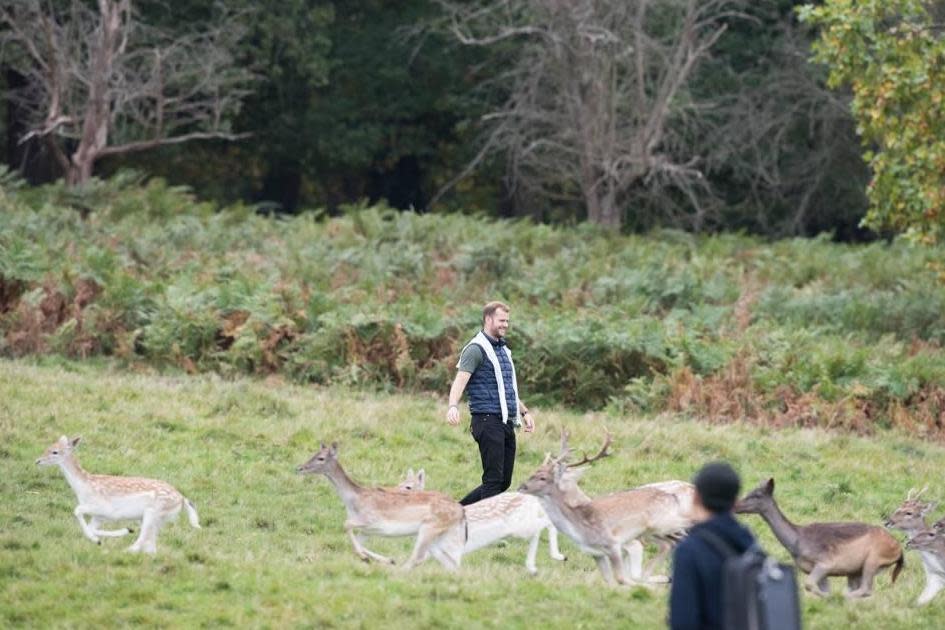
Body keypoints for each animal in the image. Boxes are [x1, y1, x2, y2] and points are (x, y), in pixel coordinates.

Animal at [35, 436, 201, 556]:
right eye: (47, 447)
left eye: (55, 452)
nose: (37, 461)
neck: (84, 487)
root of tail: (182, 499)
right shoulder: (99, 516)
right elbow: (90, 526)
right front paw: (105, 537)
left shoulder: (102, 509)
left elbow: (77, 511)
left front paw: (98, 540)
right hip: (159, 518)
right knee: (151, 546)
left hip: (153, 512)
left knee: (143, 539)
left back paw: (126, 551)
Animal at [296, 444, 466, 572]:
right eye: (314, 453)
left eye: (321, 458)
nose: (300, 468)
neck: (353, 501)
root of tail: (460, 510)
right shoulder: (367, 530)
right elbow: (357, 542)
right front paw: (385, 559)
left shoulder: (371, 520)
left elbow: (346, 525)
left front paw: (367, 558)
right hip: (441, 534)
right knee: (449, 559)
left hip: (430, 528)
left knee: (420, 557)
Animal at [394, 470, 564, 576]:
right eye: (400, 481)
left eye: (408, 486)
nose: (393, 491)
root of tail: (530, 498)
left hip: (522, 525)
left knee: (546, 523)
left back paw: (557, 556)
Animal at [732, 482, 904, 600]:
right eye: (750, 491)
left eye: (756, 495)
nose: (736, 505)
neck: (797, 542)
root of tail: (899, 551)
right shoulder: (820, 571)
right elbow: (821, 588)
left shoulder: (825, 563)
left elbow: (809, 585)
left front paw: (831, 598)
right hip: (855, 572)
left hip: (873, 560)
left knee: (866, 589)